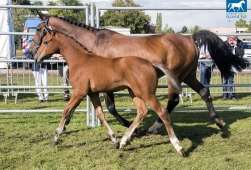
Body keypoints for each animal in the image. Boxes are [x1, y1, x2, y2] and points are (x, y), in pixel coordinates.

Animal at [28, 10, 247, 133]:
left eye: (39, 30)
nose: (31, 53)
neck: (94, 44)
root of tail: (189, 37)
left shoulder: (105, 85)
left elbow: (110, 107)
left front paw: (127, 125)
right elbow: (80, 106)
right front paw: (64, 126)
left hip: (175, 77)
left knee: (172, 101)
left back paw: (154, 127)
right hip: (188, 75)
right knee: (204, 92)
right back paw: (217, 120)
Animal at [34, 25, 183, 155]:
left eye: (46, 41)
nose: (36, 57)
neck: (80, 60)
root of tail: (151, 64)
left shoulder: (79, 92)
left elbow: (66, 110)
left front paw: (56, 137)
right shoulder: (92, 93)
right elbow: (100, 114)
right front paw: (114, 140)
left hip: (147, 93)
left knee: (162, 112)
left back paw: (178, 146)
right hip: (134, 93)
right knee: (142, 111)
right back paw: (123, 141)